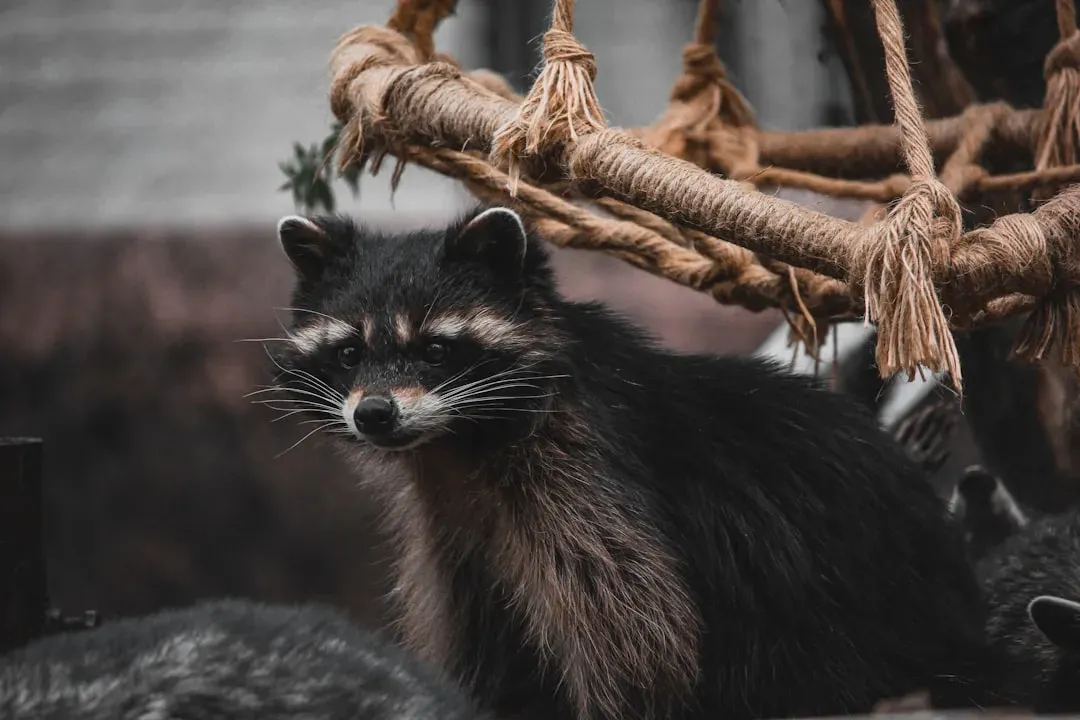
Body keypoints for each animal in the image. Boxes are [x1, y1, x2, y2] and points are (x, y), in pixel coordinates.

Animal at [268, 206, 1006, 720]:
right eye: (348, 354)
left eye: (436, 351)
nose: (375, 415)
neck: (457, 441)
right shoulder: (451, 524)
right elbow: (484, 644)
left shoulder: (585, 475)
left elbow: (642, 642)